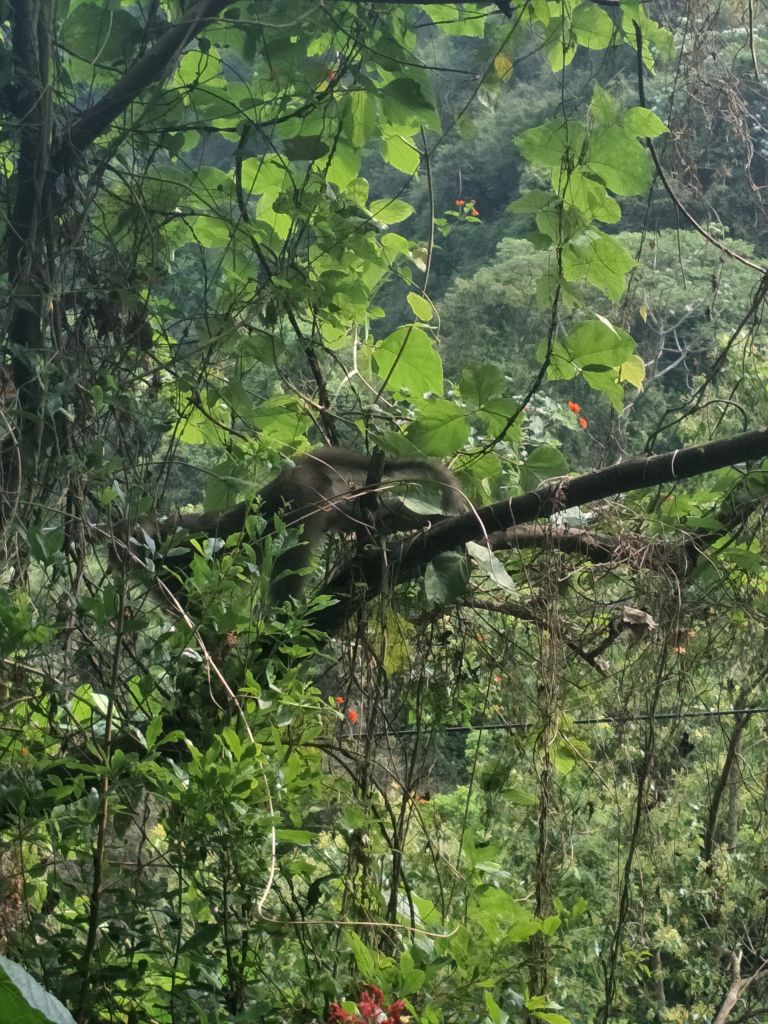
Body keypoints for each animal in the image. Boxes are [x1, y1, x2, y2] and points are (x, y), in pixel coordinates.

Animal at [110, 446, 466, 602]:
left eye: (131, 538)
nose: (122, 557)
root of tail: (299, 465)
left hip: (302, 504)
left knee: (289, 565)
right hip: (325, 499)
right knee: (356, 513)